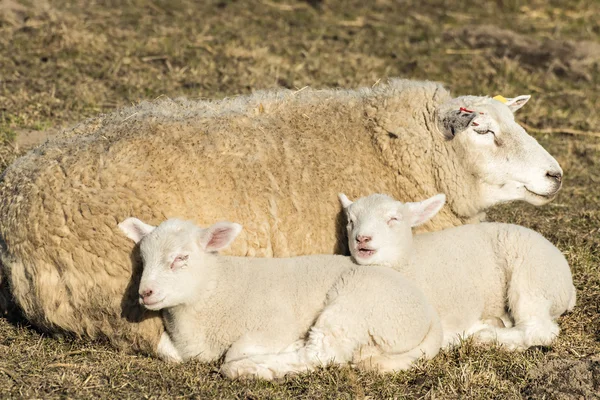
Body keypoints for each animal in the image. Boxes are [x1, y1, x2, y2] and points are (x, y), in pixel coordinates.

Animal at [117, 217, 442, 380]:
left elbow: (235, 352)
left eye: (181, 258)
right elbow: (165, 351)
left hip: (356, 305)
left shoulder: (274, 323)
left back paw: (256, 368)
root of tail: (429, 316)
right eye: (142, 260)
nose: (144, 293)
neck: (214, 289)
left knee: (322, 354)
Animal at [338, 192, 576, 348]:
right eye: (350, 221)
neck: (411, 263)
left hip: (534, 278)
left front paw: (477, 330)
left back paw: (489, 337)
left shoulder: (463, 305)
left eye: (393, 219)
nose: (362, 238)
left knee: (540, 330)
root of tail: (569, 285)